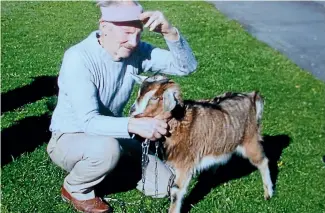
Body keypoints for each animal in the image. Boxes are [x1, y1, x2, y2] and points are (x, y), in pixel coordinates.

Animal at [128, 73, 272, 213]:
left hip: (249, 139)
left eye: (154, 98)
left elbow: (176, 191)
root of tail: (252, 97)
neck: (179, 123)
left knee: (263, 161)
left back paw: (268, 193)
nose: (132, 110)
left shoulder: (184, 164)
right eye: (139, 92)